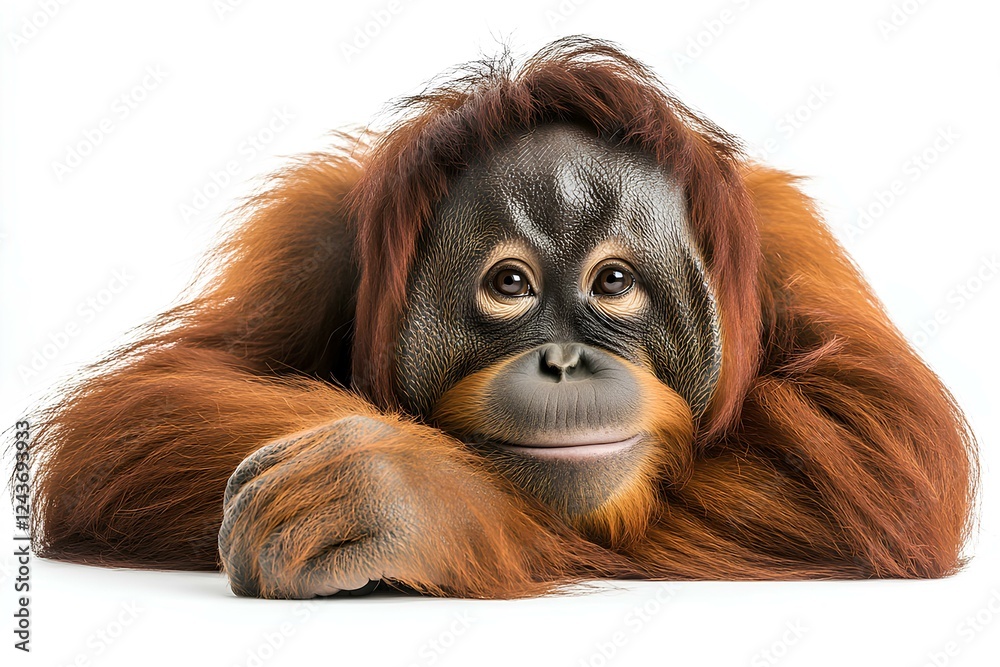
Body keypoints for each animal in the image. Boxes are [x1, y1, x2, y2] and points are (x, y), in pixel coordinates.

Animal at [26, 37, 977, 599]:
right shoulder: (315, 235)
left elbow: (886, 455)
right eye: (510, 283)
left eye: (614, 281)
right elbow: (140, 411)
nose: (562, 360)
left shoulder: (781, 242)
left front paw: (402, 493)